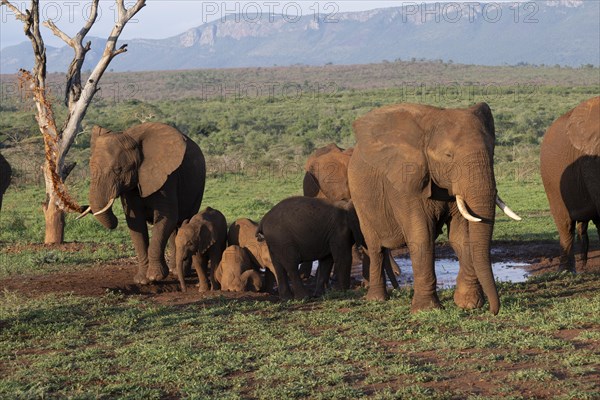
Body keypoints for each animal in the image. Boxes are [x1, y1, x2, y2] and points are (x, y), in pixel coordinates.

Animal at [78, 122, 205, 284]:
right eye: (90, 168)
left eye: (118, 170)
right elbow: (136, 223)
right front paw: (142, 280)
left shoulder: (167, 178)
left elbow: (166, 218)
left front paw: (155, 277)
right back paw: (174, 270)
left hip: (198, 186)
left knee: (184, 221)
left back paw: (180, 272)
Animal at [346, 103, 520, 316]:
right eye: (448, 155)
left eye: (492, 153)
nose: (493, 311)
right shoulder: (406, 182)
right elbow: (421, 236)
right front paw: (426, 310)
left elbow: (461, 236)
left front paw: (468, 304)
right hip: (359, 198)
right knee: (374, 246)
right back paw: (377, 299)